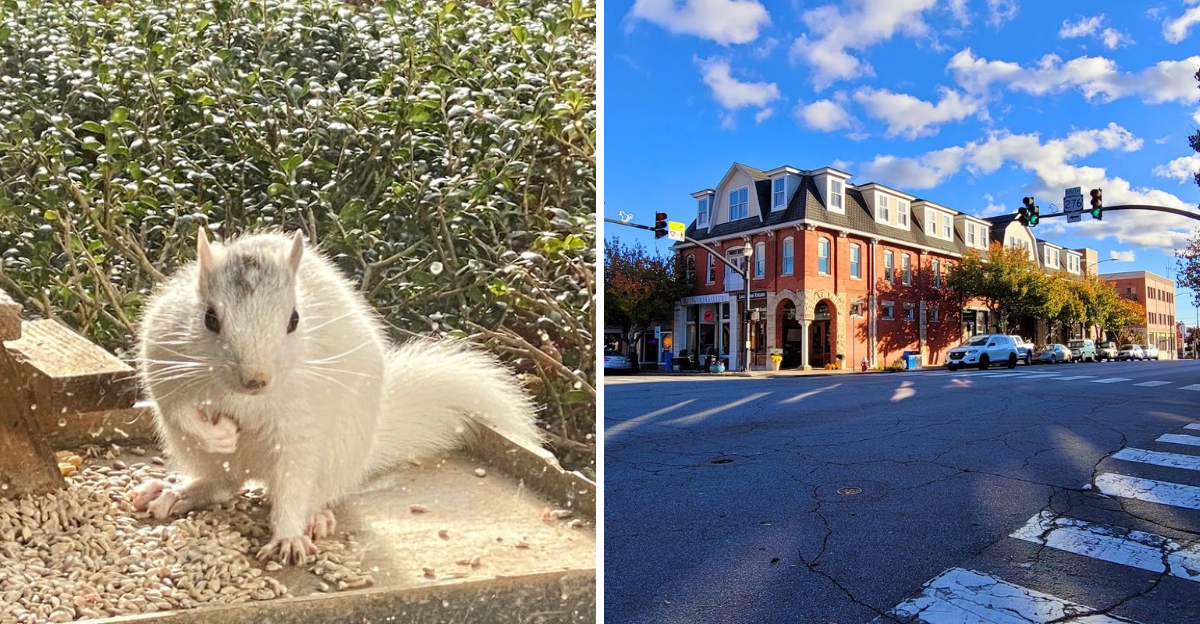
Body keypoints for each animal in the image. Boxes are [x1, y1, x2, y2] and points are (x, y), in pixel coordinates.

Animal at [130, 229, 541, 564]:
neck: (244, 399)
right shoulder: (166, 367)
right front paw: (221, 435)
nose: (256, 380)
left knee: (305, 490)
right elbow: (179, 412)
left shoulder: (301, 424)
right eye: (210, 318)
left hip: (340, 453)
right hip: (195, 453)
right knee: (220, 483)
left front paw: (288, 537)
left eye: (295, 320)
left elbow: (295, 478)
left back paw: (313, 518)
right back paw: (176, 492)